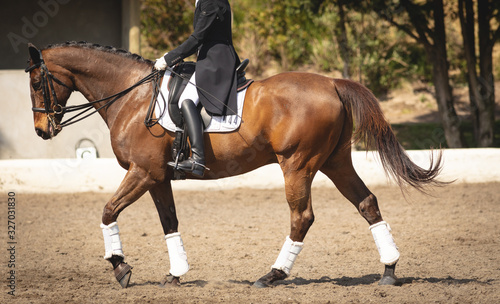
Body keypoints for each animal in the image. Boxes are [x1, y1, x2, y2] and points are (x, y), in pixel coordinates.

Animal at [25, 41, 444, 288]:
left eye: (34, 82)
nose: (42, 130)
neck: (133, 96)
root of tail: (332, 83)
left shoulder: (142, 173)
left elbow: (108, 211)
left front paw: (120, 267)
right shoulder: (158, 177)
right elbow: (169, 222)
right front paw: (176, 274)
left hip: (298, 164)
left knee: (302, 217)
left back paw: (273, 275)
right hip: (335, 161)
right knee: (367, 203)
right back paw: (388, 271)